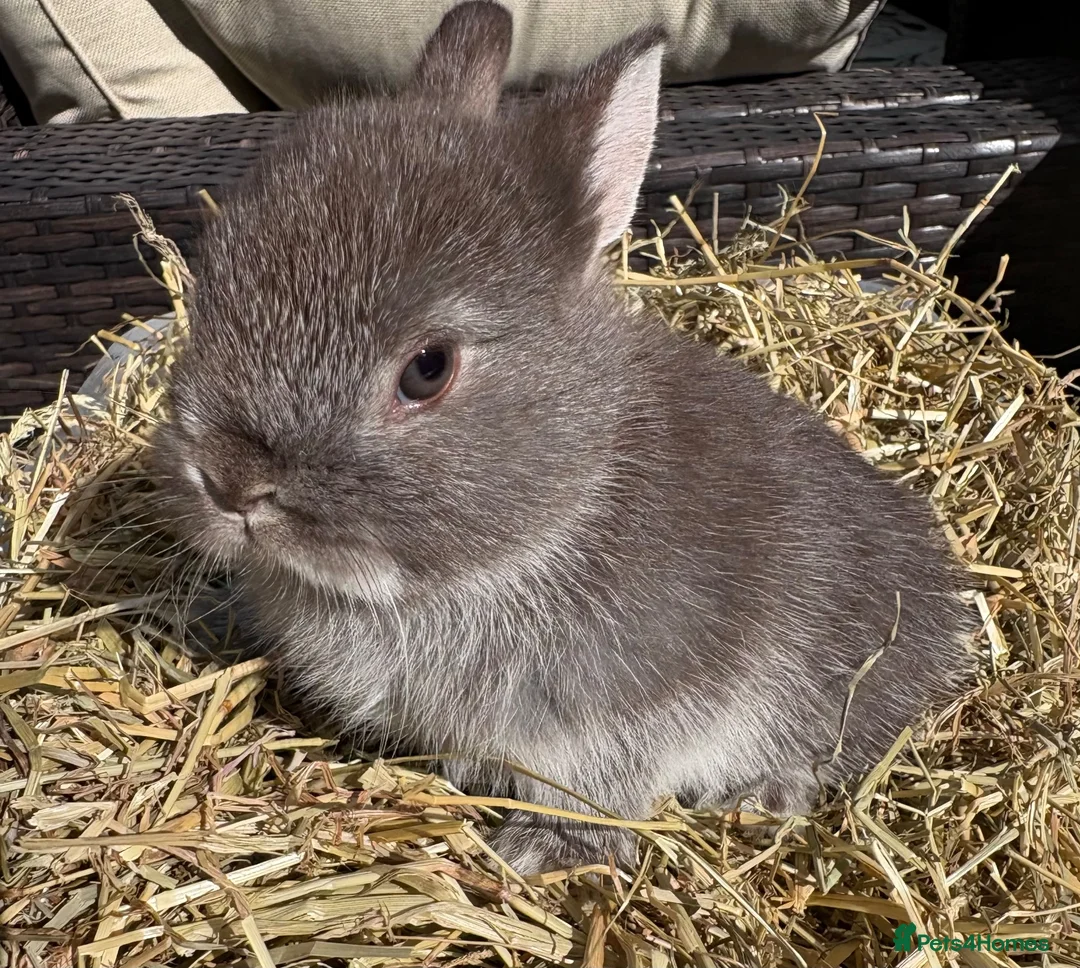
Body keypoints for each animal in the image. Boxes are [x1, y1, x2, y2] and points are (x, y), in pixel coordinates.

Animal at [153, 0, 976, 875]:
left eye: (428, 369)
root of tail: (948, 613)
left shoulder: (626, 710)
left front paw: (538, 850)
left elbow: (600, 787)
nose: (230, 481)